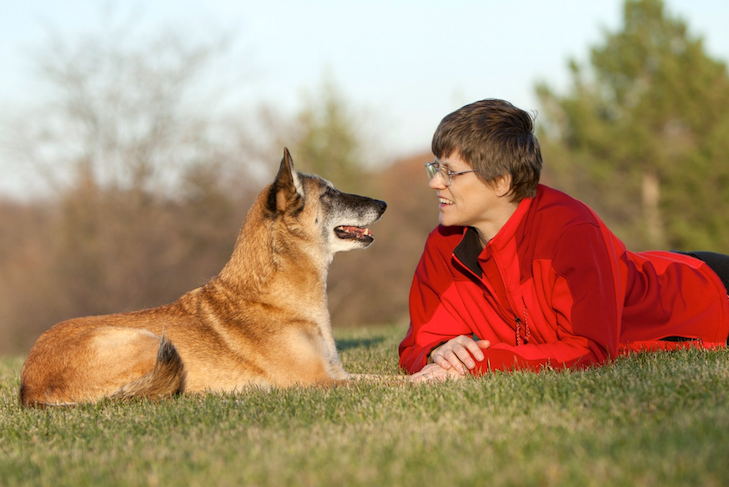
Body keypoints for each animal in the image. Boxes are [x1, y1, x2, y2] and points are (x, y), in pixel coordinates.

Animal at [18, 149, 386, 408]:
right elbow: (389, 384)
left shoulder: (338, 373)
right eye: (328, 194)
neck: (273, 297)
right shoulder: (319, 381)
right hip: (148, 341)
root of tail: (28, 388)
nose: (383, 203)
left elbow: (385, 376)